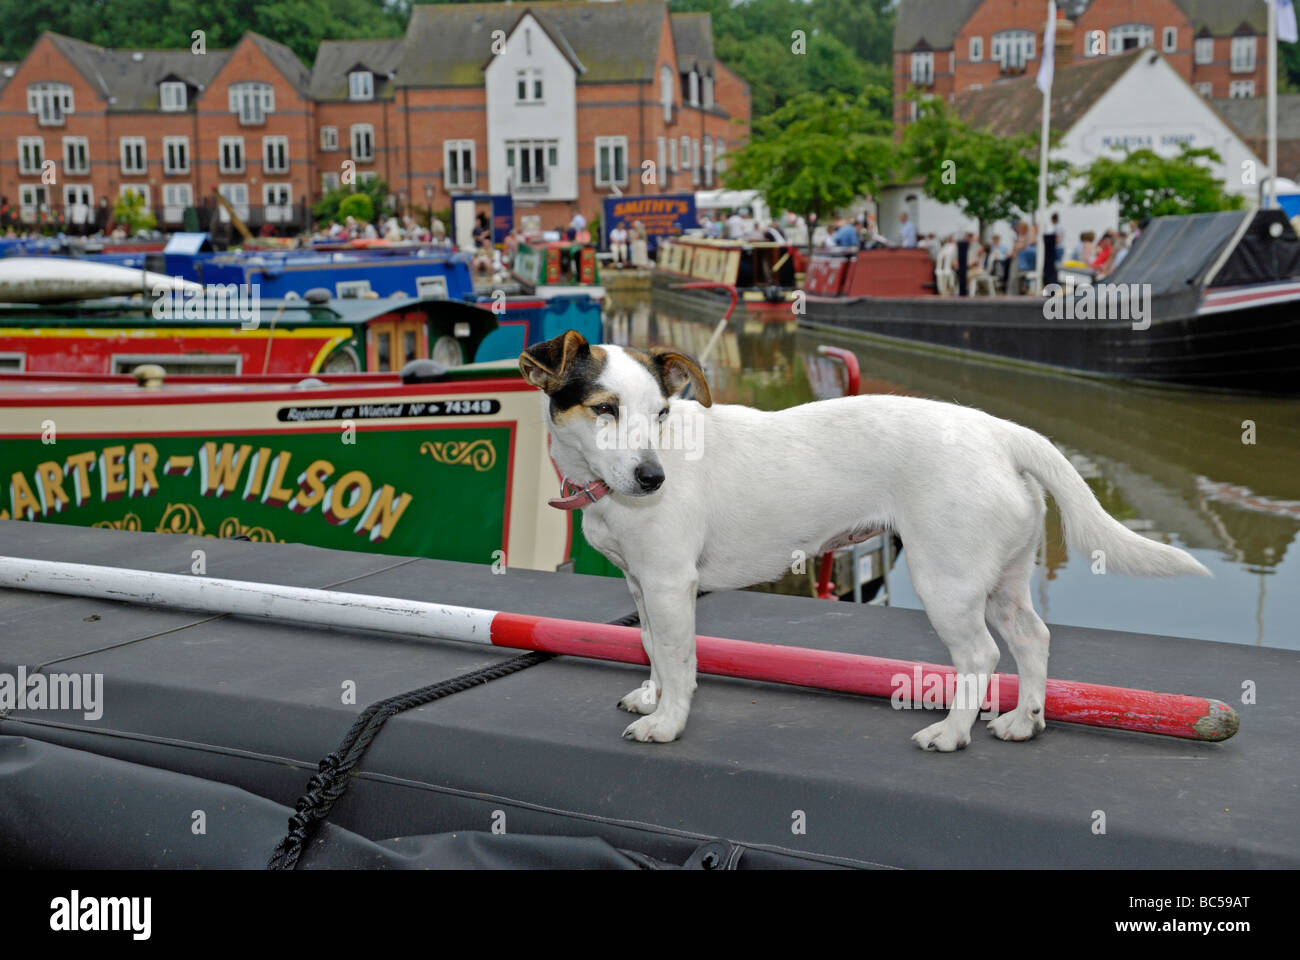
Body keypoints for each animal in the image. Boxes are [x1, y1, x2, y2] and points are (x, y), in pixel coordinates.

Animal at [517, 333, 1206, 749]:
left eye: (661, 414)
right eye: (604, 409)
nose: (652, 477)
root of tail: (1001, 431)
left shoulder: (669, 585)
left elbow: (680, 661)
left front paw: (668, 723)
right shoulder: (642, 586)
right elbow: (652, 651)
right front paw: (651, 699)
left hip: (946, 582)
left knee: (980, 657)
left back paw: (952, 734)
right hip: (1002, 581)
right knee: (1033, 640)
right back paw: (1022, 721)